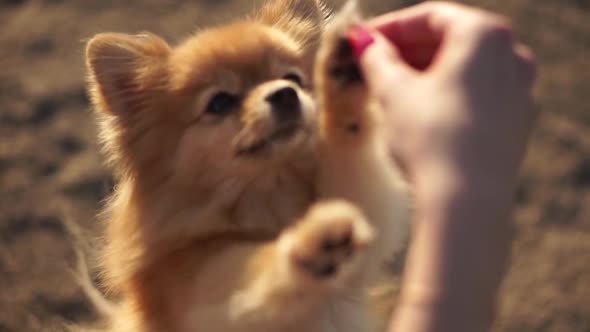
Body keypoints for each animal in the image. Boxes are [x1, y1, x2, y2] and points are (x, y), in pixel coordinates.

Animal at [84, 0, 412, 332]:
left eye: (293, 79)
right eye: (220, 102)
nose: (284, 93)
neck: (270, 196)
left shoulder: (365, 220)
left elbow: (350, 169)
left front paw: (339, 76)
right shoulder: (198, 288)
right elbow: (257, 271)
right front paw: (311, 242)